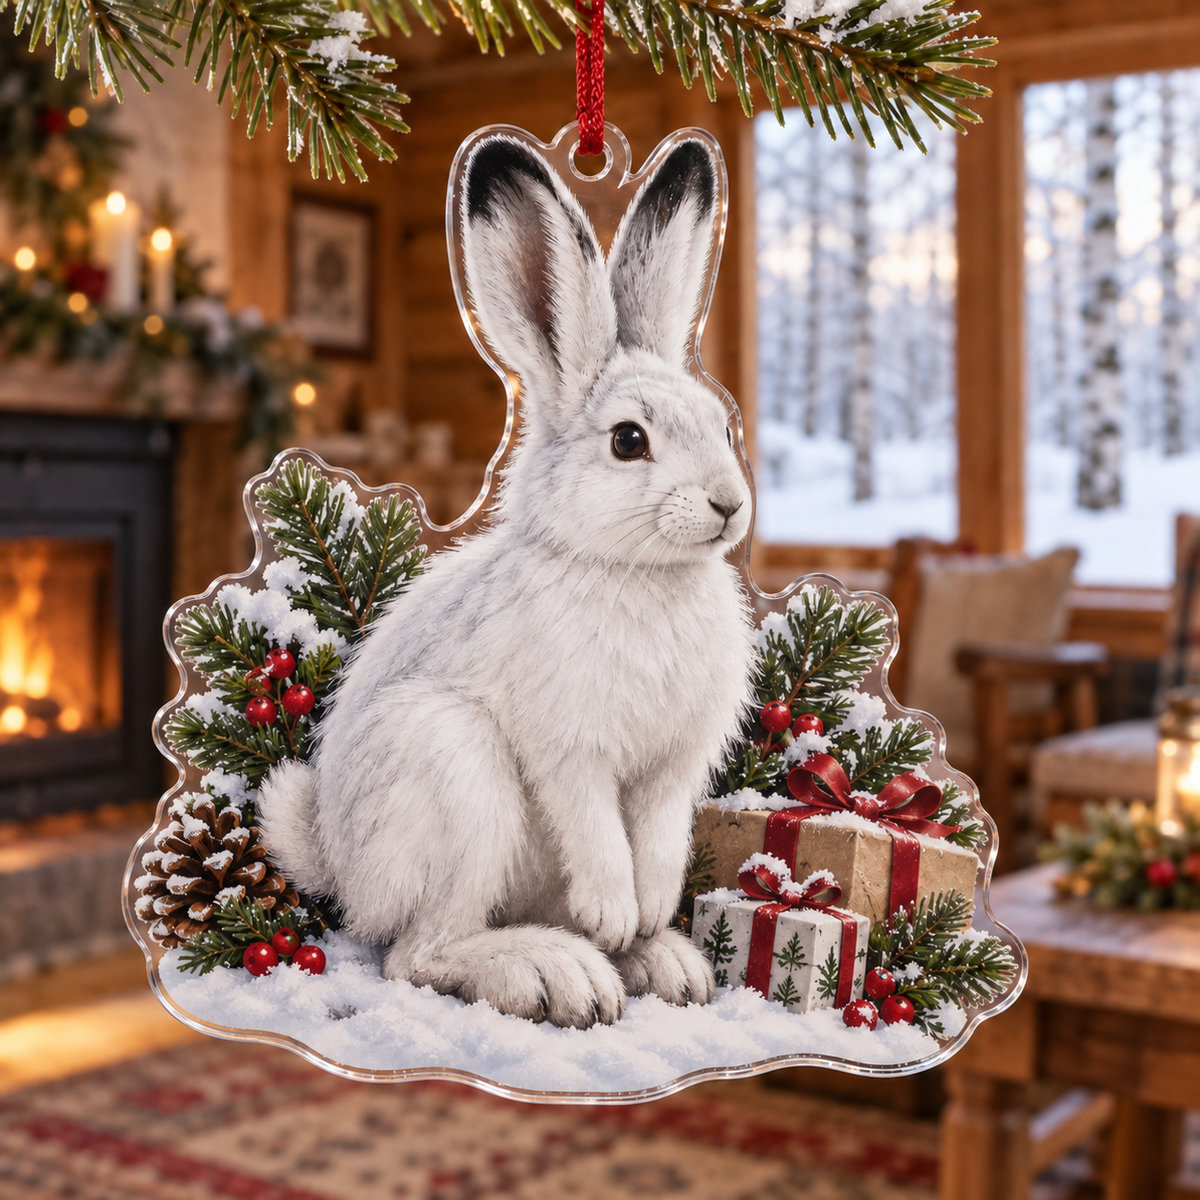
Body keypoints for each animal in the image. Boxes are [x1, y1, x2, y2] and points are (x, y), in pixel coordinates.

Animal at [258, 134, 756, 1030]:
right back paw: (559, 971)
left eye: (720, 422)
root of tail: (342, 871)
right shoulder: (569, 749)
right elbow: (595, 828)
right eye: (628, 441)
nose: (731, 505)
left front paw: (650, 914)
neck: (635, 571)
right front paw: (614, 913)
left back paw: (662, 961)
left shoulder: (672, 769)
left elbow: (661, 837)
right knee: (416, 954)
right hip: (456, 776)